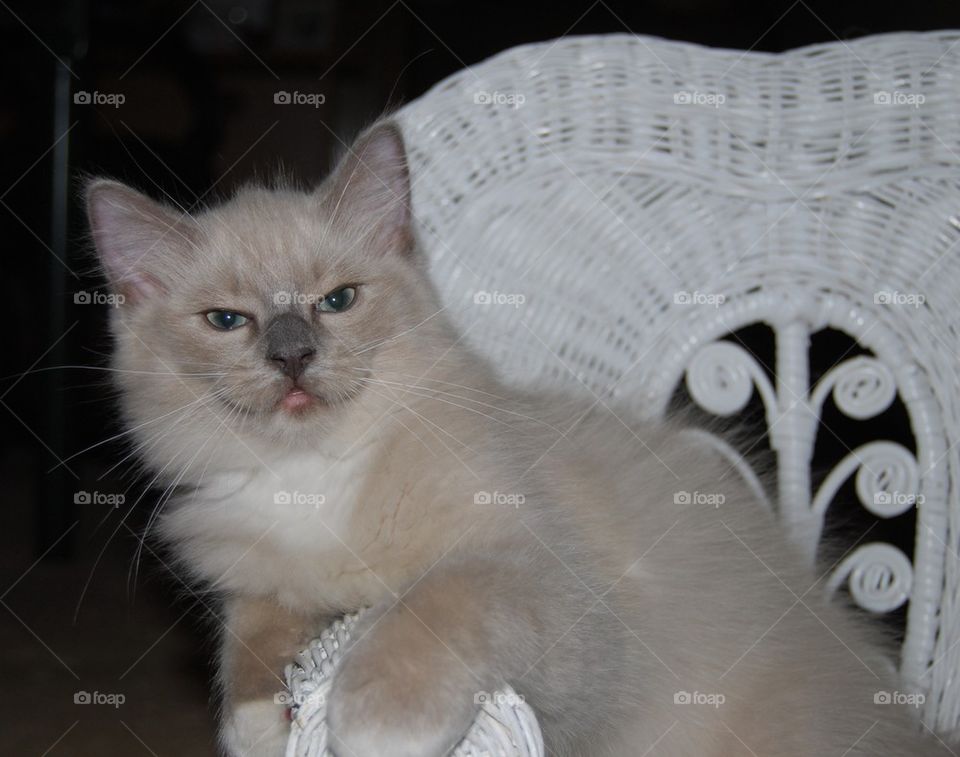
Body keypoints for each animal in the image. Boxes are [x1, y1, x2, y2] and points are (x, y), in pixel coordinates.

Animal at [86, 121, 948, 752]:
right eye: (227, 320)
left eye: (337, 300)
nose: (293, 356)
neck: (316, 475)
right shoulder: (259, 578)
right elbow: (255, 629)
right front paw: (260, 718)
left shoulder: (546, 585)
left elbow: (439, 597)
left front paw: (374, 720)